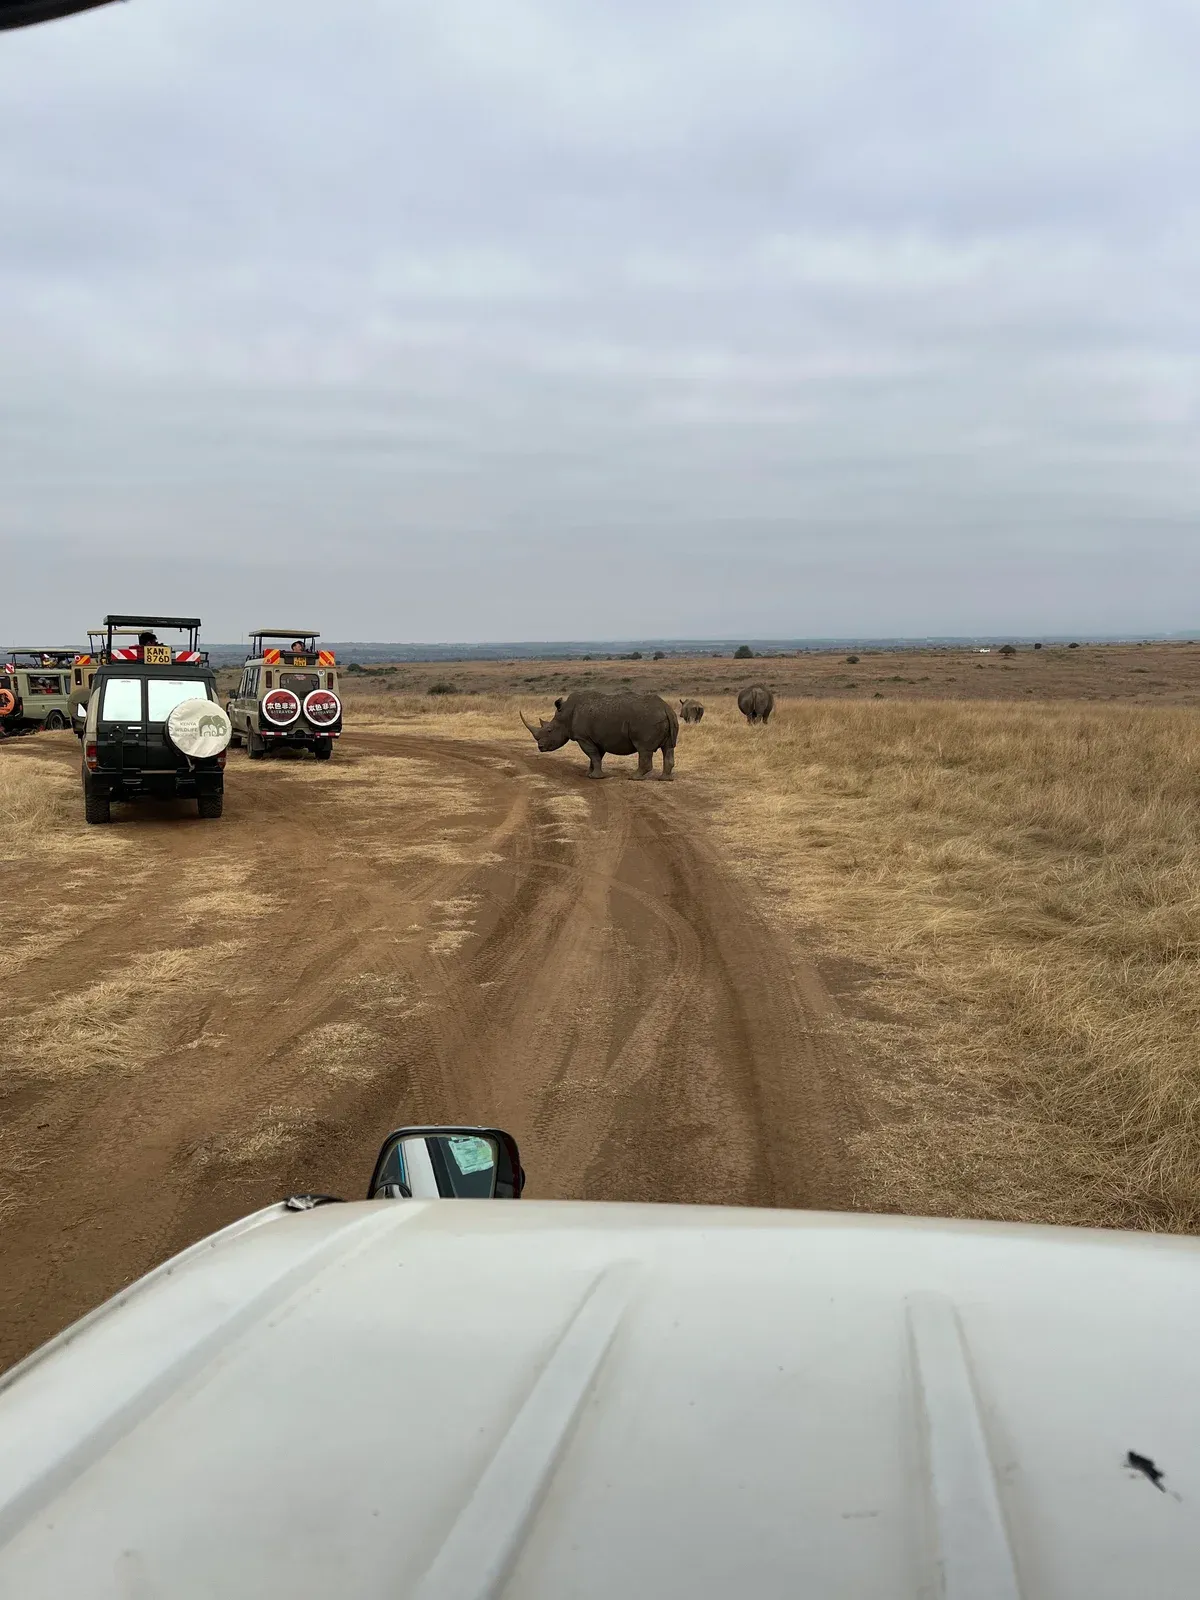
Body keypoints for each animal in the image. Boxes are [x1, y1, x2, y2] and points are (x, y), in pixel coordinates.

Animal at [521, 690, 677, 779]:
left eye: (549, 730)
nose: (540, 747)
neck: (565, 714)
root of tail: (665, 707)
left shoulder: (583, 738)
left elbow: (593, 755)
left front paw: (595, 777)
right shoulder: (597, 738)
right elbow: (596, 756)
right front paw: (589, 774)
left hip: (646, 720)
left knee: (643, 749)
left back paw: (634, 777)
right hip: (666, 717)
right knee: (668, 748)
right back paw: (665, 779)